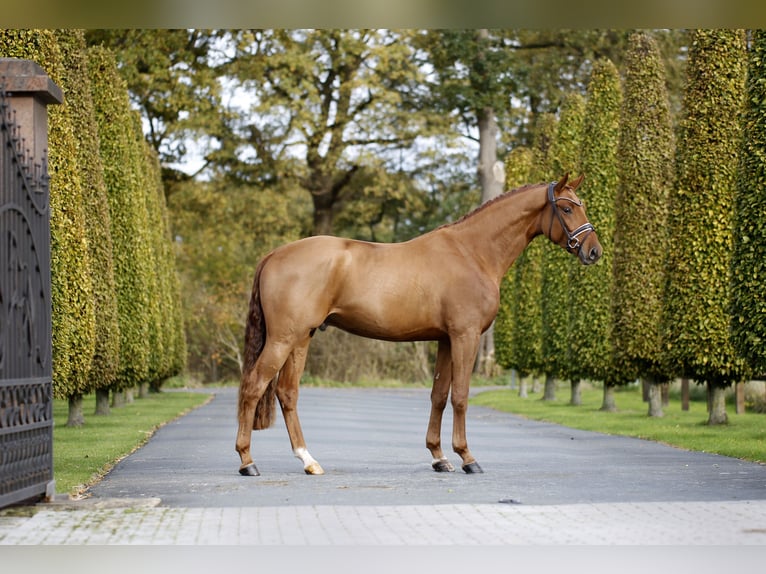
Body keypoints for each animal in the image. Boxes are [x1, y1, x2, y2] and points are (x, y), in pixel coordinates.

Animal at [235, 173, 602, 477]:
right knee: (253, 386)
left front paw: (440, 457)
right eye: (567, 208)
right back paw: (247, 462)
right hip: (284, 338)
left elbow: (438, 395)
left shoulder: (445, 339)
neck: (472, 253)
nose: (594, 251)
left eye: (580, 205)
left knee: (287, 392)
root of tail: (274, 255)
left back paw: (308, 460)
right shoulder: (465, 336)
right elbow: (461, 395)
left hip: (302, 338)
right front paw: (468, 458)